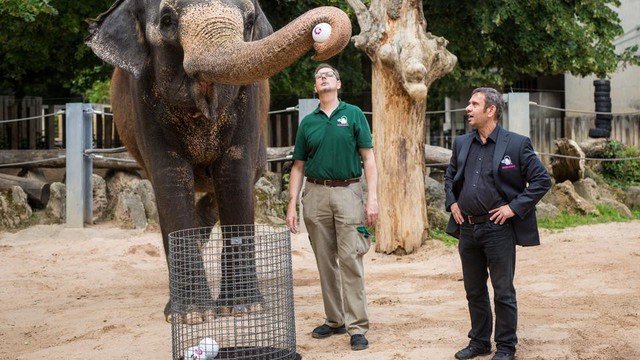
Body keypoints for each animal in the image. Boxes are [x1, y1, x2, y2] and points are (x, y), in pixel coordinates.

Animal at [84, 0, 350, 322]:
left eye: (249, 21)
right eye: (167, 20)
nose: (318, 46)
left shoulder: (249, 100)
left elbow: (234, 173)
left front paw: (244, 309)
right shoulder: (143, 100)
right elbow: (170, 178)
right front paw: (191, 316)